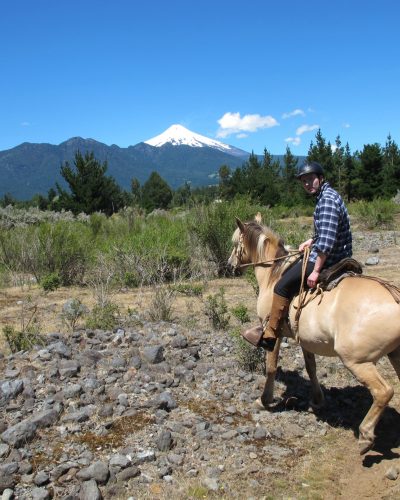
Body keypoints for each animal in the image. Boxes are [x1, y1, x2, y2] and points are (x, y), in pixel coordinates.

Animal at [228, 217, 400, 456]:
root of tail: (395, 297)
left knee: (383, 392)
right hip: (396, 354)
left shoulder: (274, 332)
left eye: (236, 242)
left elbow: (271, 366)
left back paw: (365, 436)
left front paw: (264, 400)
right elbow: (311, 367)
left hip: (358, 361)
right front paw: (317, 401)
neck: (272, 275)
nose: (229, 265)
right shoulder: (307, 339)